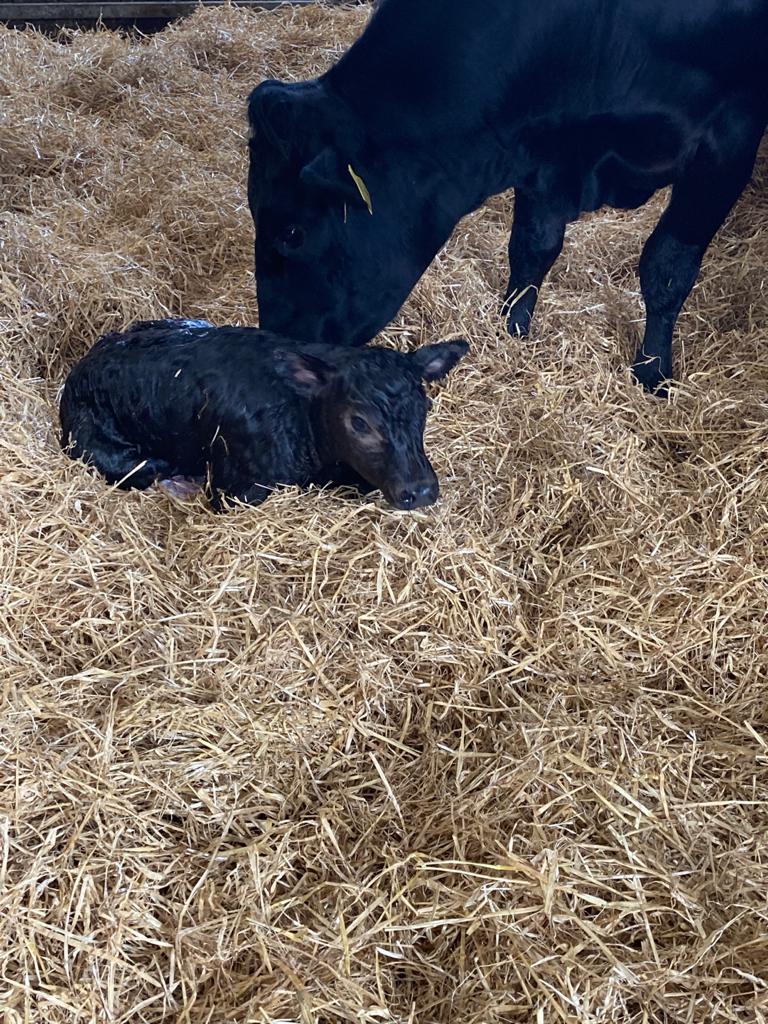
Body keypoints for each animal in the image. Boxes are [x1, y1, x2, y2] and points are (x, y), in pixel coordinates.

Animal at [249, 0, 765, 391]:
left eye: (291, 233)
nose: (275, 350)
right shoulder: (543, 145)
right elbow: (532, 247)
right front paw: (511, 329)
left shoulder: (730, 133)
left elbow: (666, 266)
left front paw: (653, 373)